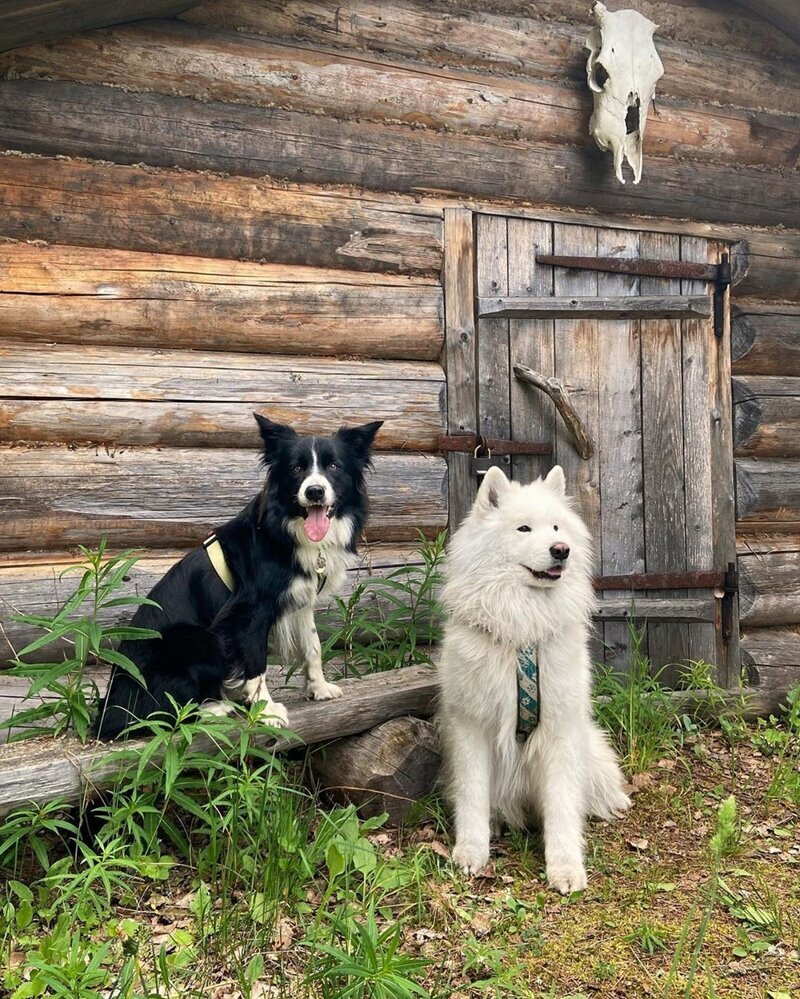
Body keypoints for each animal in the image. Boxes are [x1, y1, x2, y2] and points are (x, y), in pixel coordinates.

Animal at [95, 414, 382, 744]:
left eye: (334, 466)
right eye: (296, 469)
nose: (314, 492)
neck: (286, 529)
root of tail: (108, 711)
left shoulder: (300, 598)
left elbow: (313, 645)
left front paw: (319, 688)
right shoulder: (248, 612)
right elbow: (256, 663)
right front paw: (266, 712)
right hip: (200, 639)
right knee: (158, 714)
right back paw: (214, 708)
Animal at [438, 464, 632, 896]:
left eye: (557, 526)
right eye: (524, 528)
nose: (561, 549)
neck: (521, 629)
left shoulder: (559, 729)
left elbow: (561, 806)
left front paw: (565, 867)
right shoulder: (471, 726)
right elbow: (472, 797)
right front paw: (471, 852)